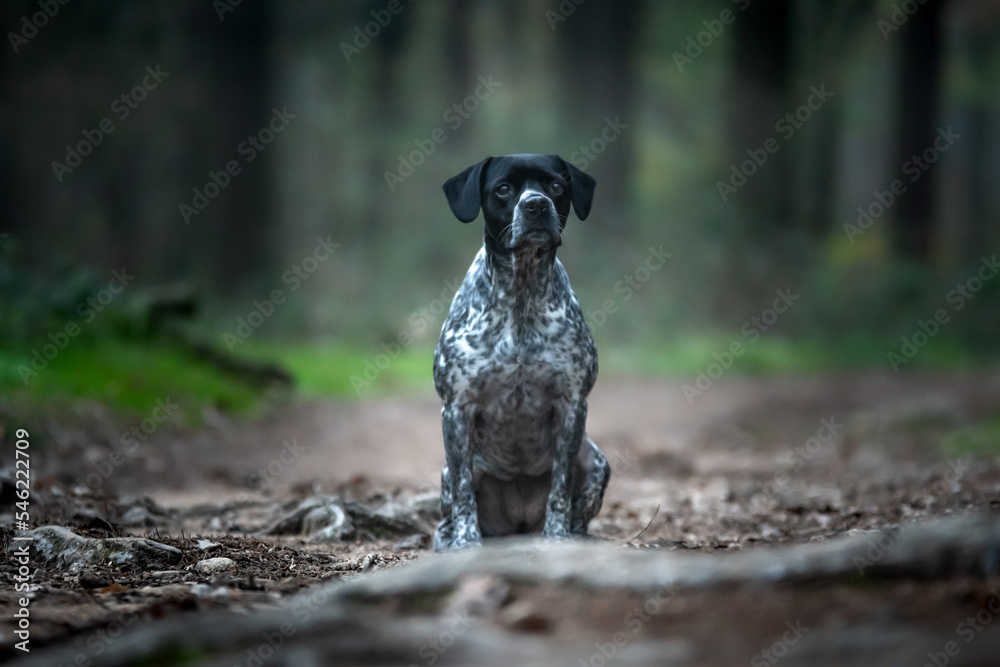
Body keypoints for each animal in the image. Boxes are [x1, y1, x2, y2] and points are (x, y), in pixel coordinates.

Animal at [432, 154, 608, 552]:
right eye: (503, 188)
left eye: (556, 186)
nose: (536, 205)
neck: (521, 297)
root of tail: (518, 522)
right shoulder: (456, 409)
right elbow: (464, 495)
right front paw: (466, 543)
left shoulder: (572, 404)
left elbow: (561, 486)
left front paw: (557, 536)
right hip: (450, 469)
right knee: (450, 506)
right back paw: (449, 539)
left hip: (595, 460)